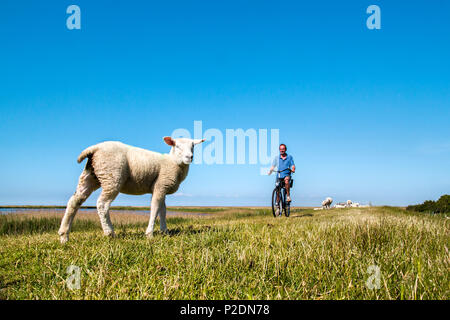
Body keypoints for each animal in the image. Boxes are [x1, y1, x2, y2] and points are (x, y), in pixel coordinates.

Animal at [57, 136, 205, 244]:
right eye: (177, 146)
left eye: (193, 146)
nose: (189, 157)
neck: (173, 162)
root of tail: (94, 148)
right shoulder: (160, 186)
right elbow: (155, 209)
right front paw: (149, 234)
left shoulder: (161, 188)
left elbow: (163, 211)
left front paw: (165, 232)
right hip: (112, 176)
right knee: (102, 204)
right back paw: (109, 233)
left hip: (91, 175)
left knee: (75, 201)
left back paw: (64, 236)